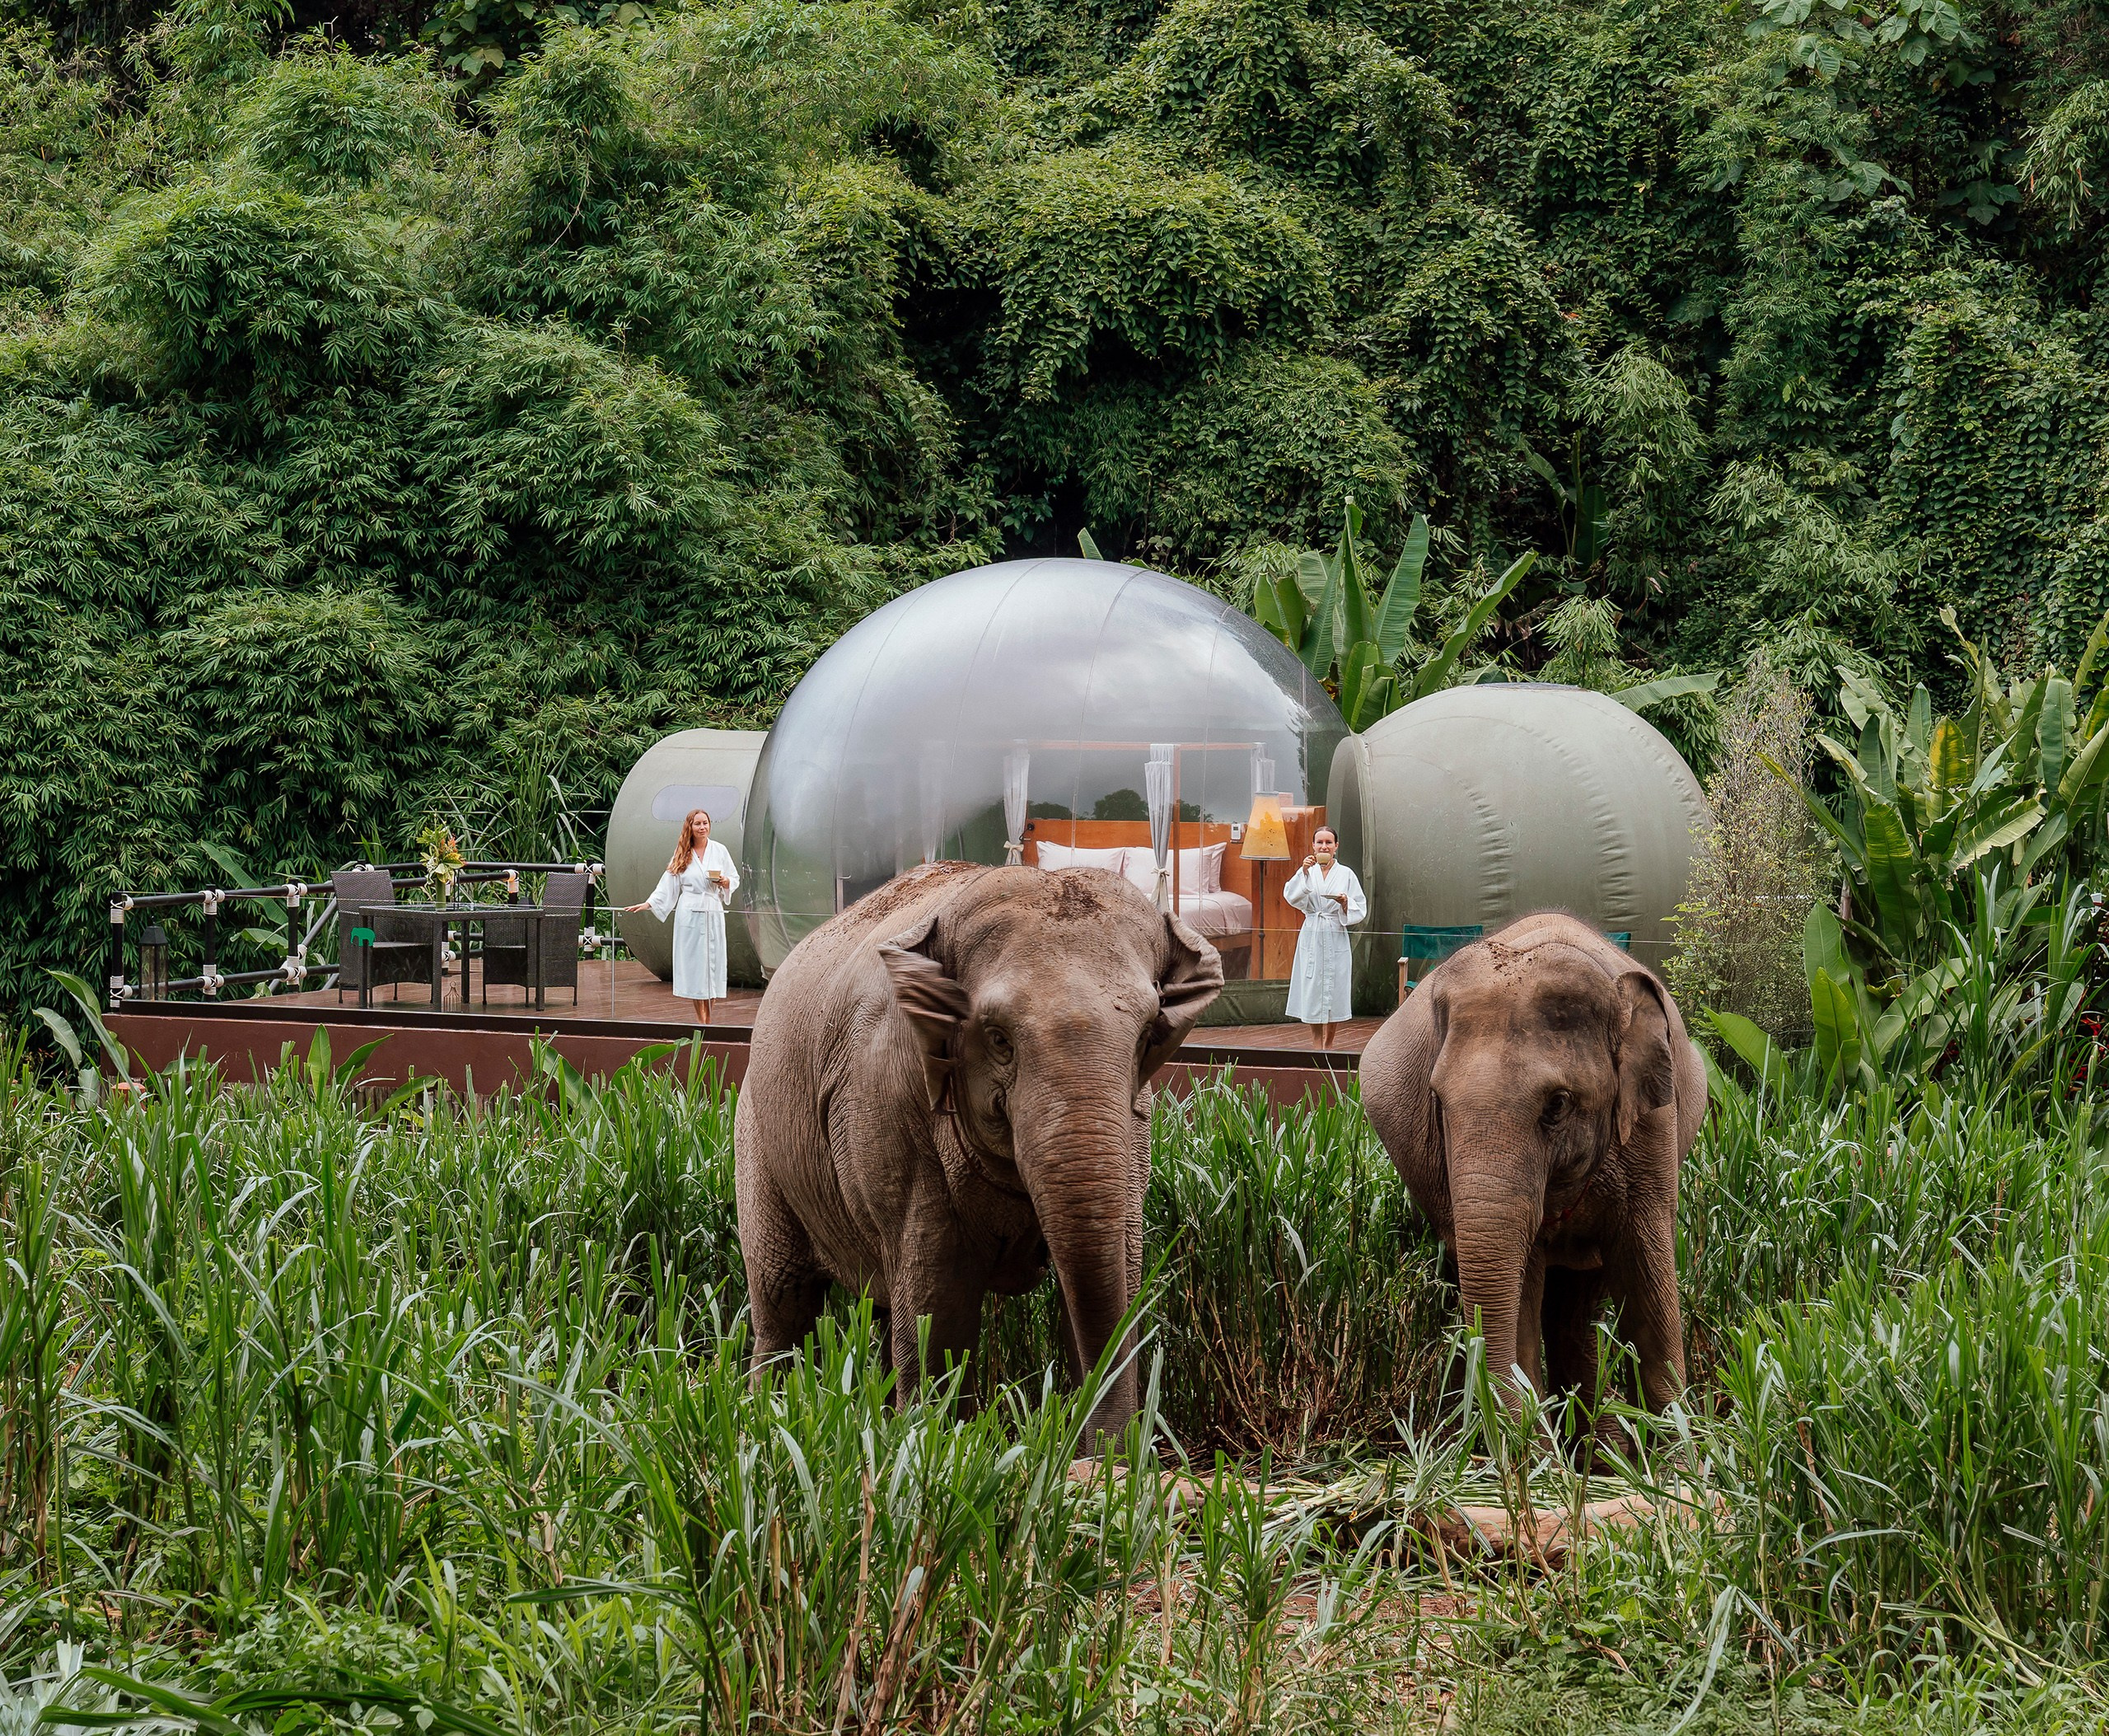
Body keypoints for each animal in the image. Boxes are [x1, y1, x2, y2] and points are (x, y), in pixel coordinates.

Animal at [732, 859, 1224, 1439]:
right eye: (998, 1038)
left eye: (1149, 1034)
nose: (1103, 1444)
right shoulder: (884, 1102)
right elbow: (938, 1297)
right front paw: (940, 1442)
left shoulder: (1136, 1122)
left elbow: (1116, 1271)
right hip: (757, 1137)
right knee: (784, 1300)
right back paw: (768, 1418)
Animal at [1359, 912, 1707, 1420]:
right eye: (1437, 1101)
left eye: (1557, 1104)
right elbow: (1522, 1285)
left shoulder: (1651, 1131)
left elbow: (1647, 1280)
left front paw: (1679, 1436)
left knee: (1578, 1308)